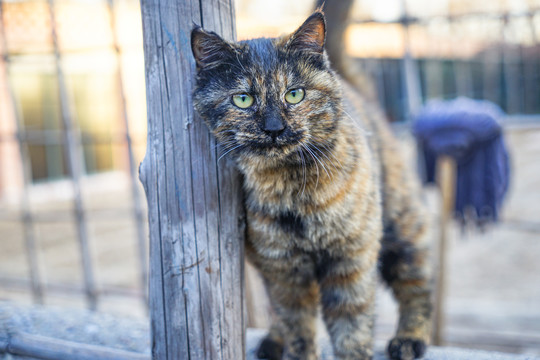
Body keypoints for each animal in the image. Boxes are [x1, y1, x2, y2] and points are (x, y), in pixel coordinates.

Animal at [192, 10, 432, 360]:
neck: (293, 193)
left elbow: (352, 327)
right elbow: (298, 327)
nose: (274, 128)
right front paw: (295, 347)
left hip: (402, 229)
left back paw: (410, 339)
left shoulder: (350, 262)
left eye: (295, 94)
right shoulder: (283, 271)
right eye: (243, 99)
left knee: (417, 286)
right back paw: (273, 341)